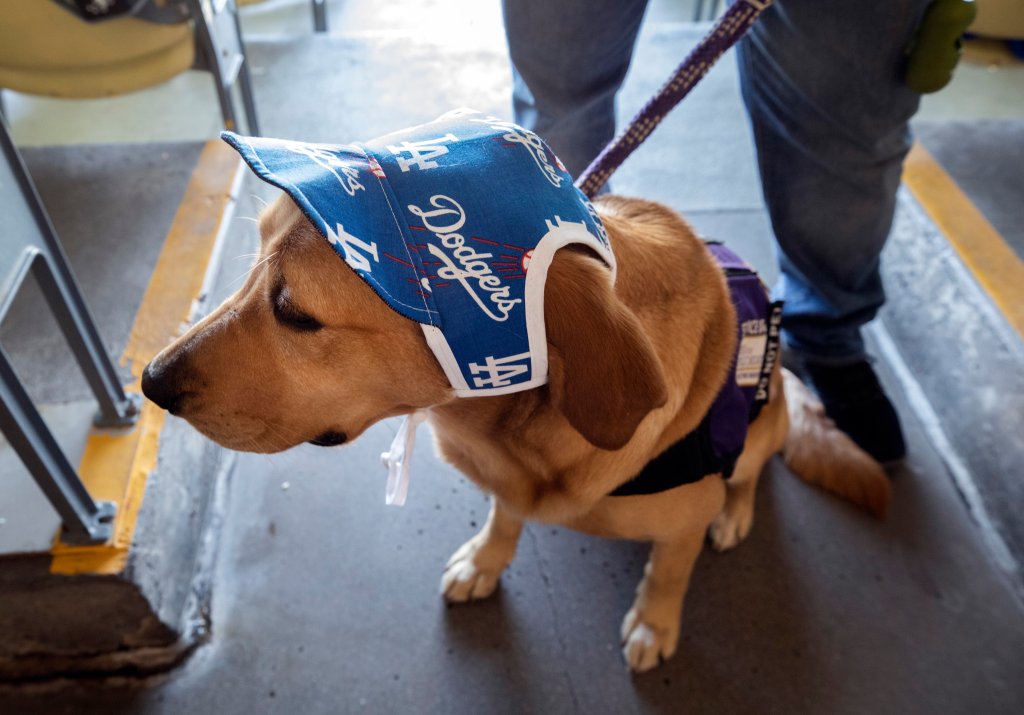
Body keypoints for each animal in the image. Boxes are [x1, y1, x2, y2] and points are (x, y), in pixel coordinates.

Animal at [142, 189, 888, 667]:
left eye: (295, 311)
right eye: (252, 259)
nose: (150, 382)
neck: (501, 429)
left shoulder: (681, 523)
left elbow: (668, 572)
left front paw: (654, 623)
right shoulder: (506, 481)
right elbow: (505, 515)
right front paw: (485, 560)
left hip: (760, 432)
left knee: (752, 472)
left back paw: (735, 513)